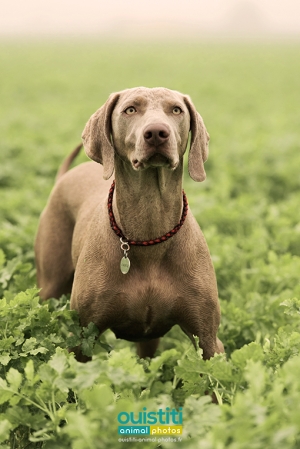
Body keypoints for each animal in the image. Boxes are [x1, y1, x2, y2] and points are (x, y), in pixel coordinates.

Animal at [34, 86, 223, 360]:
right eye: (130, 109)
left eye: (176, 109)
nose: (156, 133)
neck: (149, 232)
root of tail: (65, 176)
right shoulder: (82, 337)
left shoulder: (208, 339)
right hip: (49, 284)